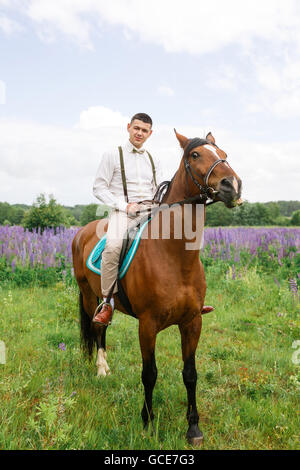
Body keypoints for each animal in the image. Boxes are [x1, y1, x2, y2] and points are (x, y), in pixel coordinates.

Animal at [72, 130, 241, 446]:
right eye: (195, 155)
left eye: (224, 153)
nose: (232, 185)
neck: (175, 257)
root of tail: (83, 232)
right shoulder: (147, 325)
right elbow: (149, 374)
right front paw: (148, 423)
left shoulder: (192, 322)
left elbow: (190, 373)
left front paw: (193, 428)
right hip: (89, 295)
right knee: (97, 327)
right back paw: (101, 369)